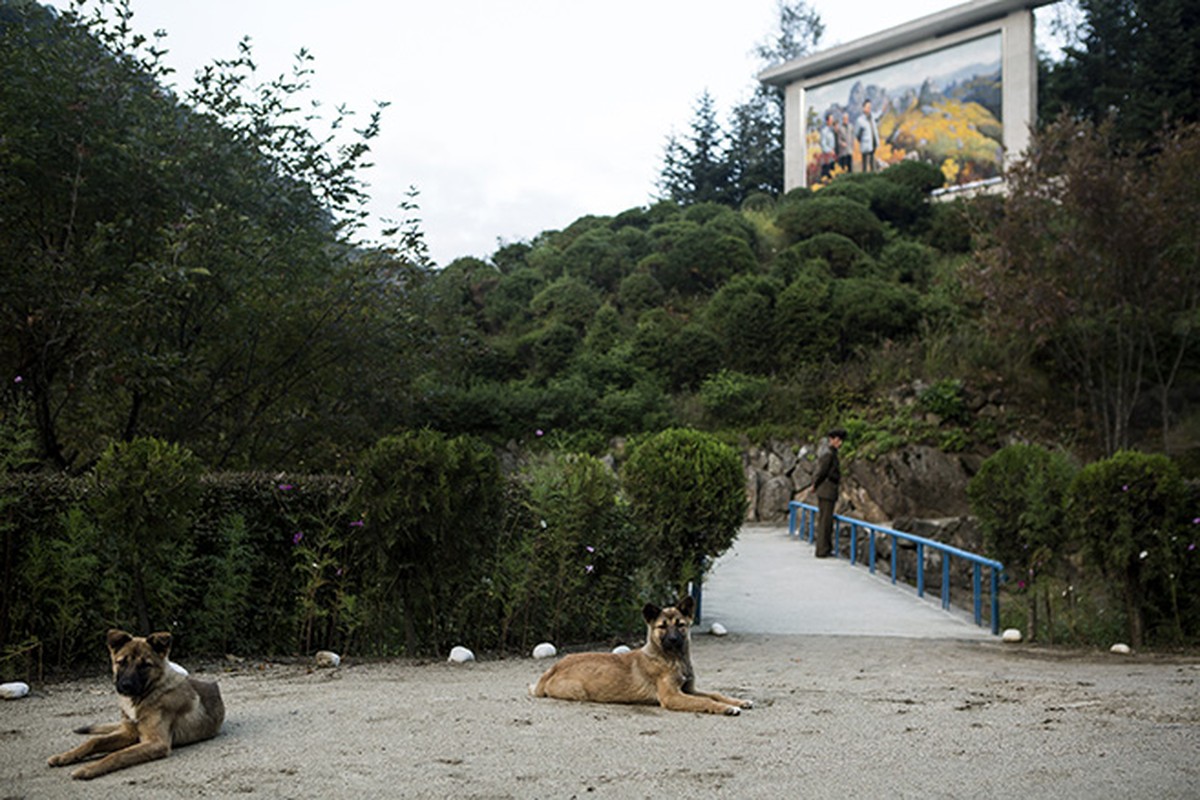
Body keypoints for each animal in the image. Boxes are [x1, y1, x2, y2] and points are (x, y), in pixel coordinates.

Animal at [46, 628, 225, 777]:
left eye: (145, 665)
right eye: (121, 662)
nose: (126, 686)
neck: (145, 696)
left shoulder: (156, 742)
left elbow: (118, 754)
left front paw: (89, 768)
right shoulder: (129, 733)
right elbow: (94, 741)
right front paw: (65, 756)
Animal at [532, 597, 753, 714]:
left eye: (680, 625)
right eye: (662, 627)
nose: (673, 640)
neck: (672, 659)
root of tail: (552, 669)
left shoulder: (688, 690)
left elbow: (715, 694)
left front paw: (737, 701)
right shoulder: (672, 696)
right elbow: (705, 701)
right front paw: (726, 708)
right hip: (578, 692)